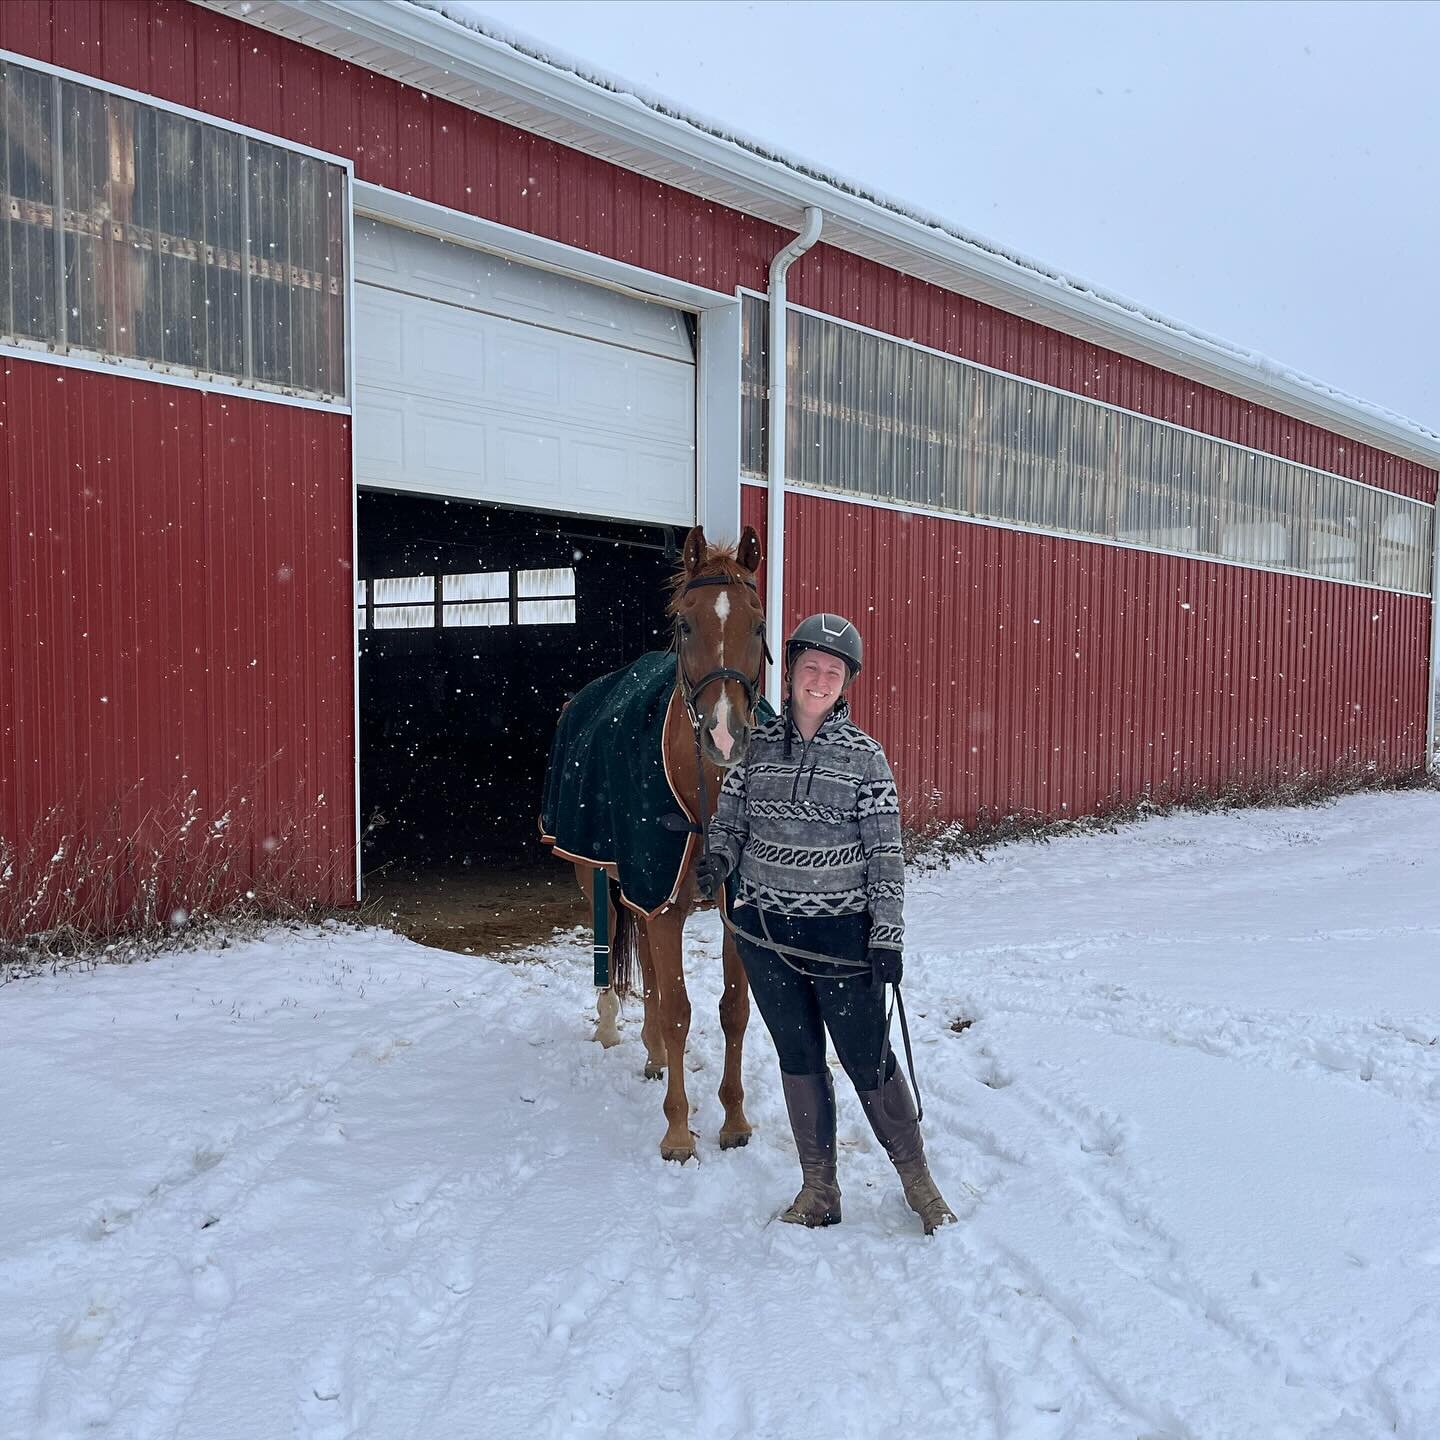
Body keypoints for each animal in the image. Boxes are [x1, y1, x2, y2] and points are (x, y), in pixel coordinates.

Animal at [564, 524, 766, 1163]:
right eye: (684, 624)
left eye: (757, 623)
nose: (725, 735)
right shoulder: (661, 900)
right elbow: (679, 1010)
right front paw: (678, 1135)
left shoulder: (728, 910)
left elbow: (733, 1011)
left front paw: (734, 1121)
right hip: (600, 879)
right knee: (620, 963)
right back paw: (622, 1034)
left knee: (650, 972)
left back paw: (653, 1057)